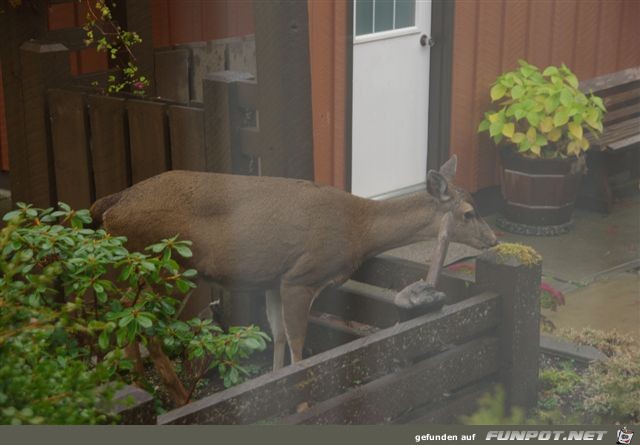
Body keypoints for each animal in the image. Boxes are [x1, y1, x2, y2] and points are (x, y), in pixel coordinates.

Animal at [91, 154, 500, 370]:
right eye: (468, 213)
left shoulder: (274, 279)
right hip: (164, 267)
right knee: (137, 321)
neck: (359, 229)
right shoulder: (303, 275)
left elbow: (278, 336)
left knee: (123, 319)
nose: (495, 239)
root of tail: (112, 205)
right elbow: (300, 347)